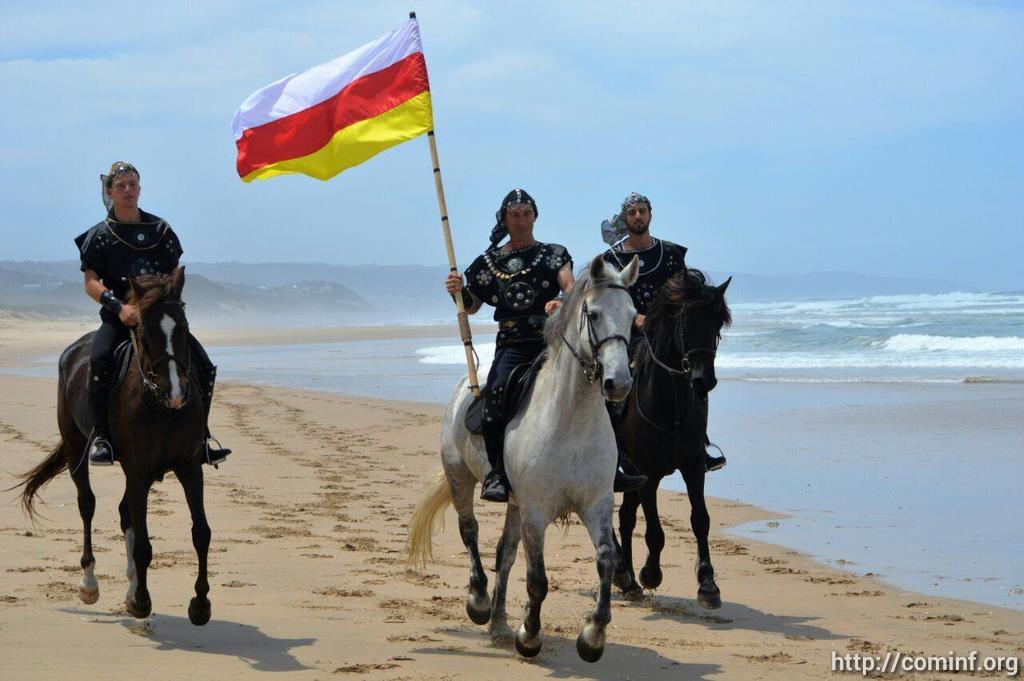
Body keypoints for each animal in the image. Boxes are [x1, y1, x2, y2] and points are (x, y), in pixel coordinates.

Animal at [15, 266, 211, 622]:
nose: (176, 394)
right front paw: (143, 602)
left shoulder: (189, 468)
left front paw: (200, 605)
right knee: (87, 505)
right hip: (77, 447)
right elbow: (144, 544)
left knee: (124, 514)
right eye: (144, 332)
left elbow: (201, 533)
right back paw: (90, 584)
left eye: (184, 328)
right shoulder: (139, 470)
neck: (161, 407)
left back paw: (131, 586)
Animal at [409, 253, 634, 659]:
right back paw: (480, 603)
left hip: (513, 502)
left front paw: (592, 637)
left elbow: (607, 561)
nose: (619, 383)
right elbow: (538, 579)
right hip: (460, 477)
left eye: (632, 314)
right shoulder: (535, 511)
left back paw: (499, 623)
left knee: (504, 553)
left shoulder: (596, 504)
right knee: (470, 531)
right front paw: (529, 636)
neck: (570, 419)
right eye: (593, 314)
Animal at [610, 268, 733, 606]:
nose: (704, 380)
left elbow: (700, 520)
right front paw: (651, 574)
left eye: (717, 324)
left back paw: (626, 579)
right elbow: (655, 532)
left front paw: (708, 584)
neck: (671, 406)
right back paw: (624, 572)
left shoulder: (693, 466)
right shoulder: (647, 474)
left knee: (625, 517)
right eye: (685, 322)